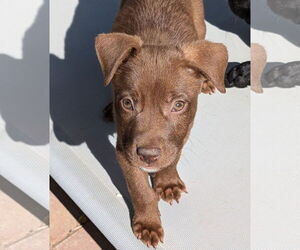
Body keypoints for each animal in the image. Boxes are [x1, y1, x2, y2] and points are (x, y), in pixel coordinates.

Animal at [95, 0, 229, 246]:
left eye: (178, 105)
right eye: (127, 103)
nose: (148, 156)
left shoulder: (180, 134)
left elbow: (172, 157)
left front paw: (167, 182)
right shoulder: (125, 148)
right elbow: (139, 190)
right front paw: (148, 223)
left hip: (201, 25)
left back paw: (207, 80)